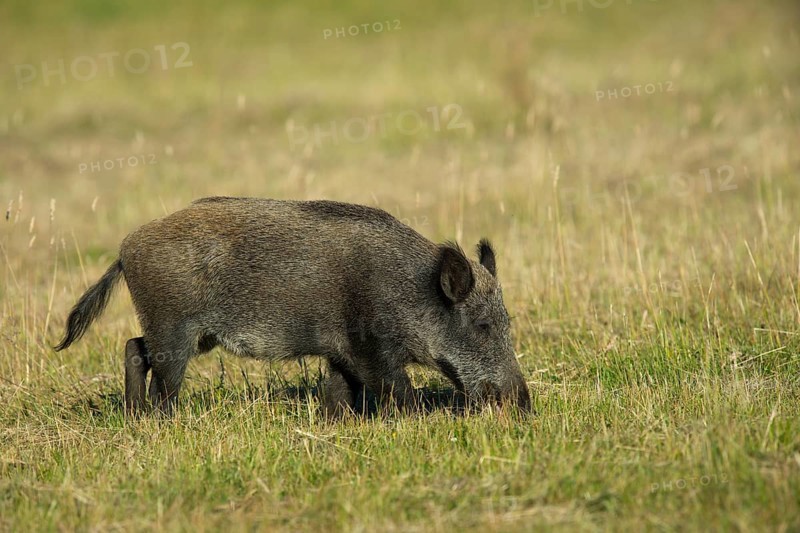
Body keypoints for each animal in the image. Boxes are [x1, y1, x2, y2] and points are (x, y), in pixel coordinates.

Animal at [55, 197, 530, 416]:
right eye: (483, 325)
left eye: (507, 321)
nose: (524, 405)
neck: (409, 289)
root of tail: (125, 248)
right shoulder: (371, 350)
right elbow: (399, 391)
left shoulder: (341, 352)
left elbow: (338, 392)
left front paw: (338, 423)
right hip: (174, 330)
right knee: (160, 378)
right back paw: (162, 419)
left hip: (188, 334)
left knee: (133, 347)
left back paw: (135, 415)